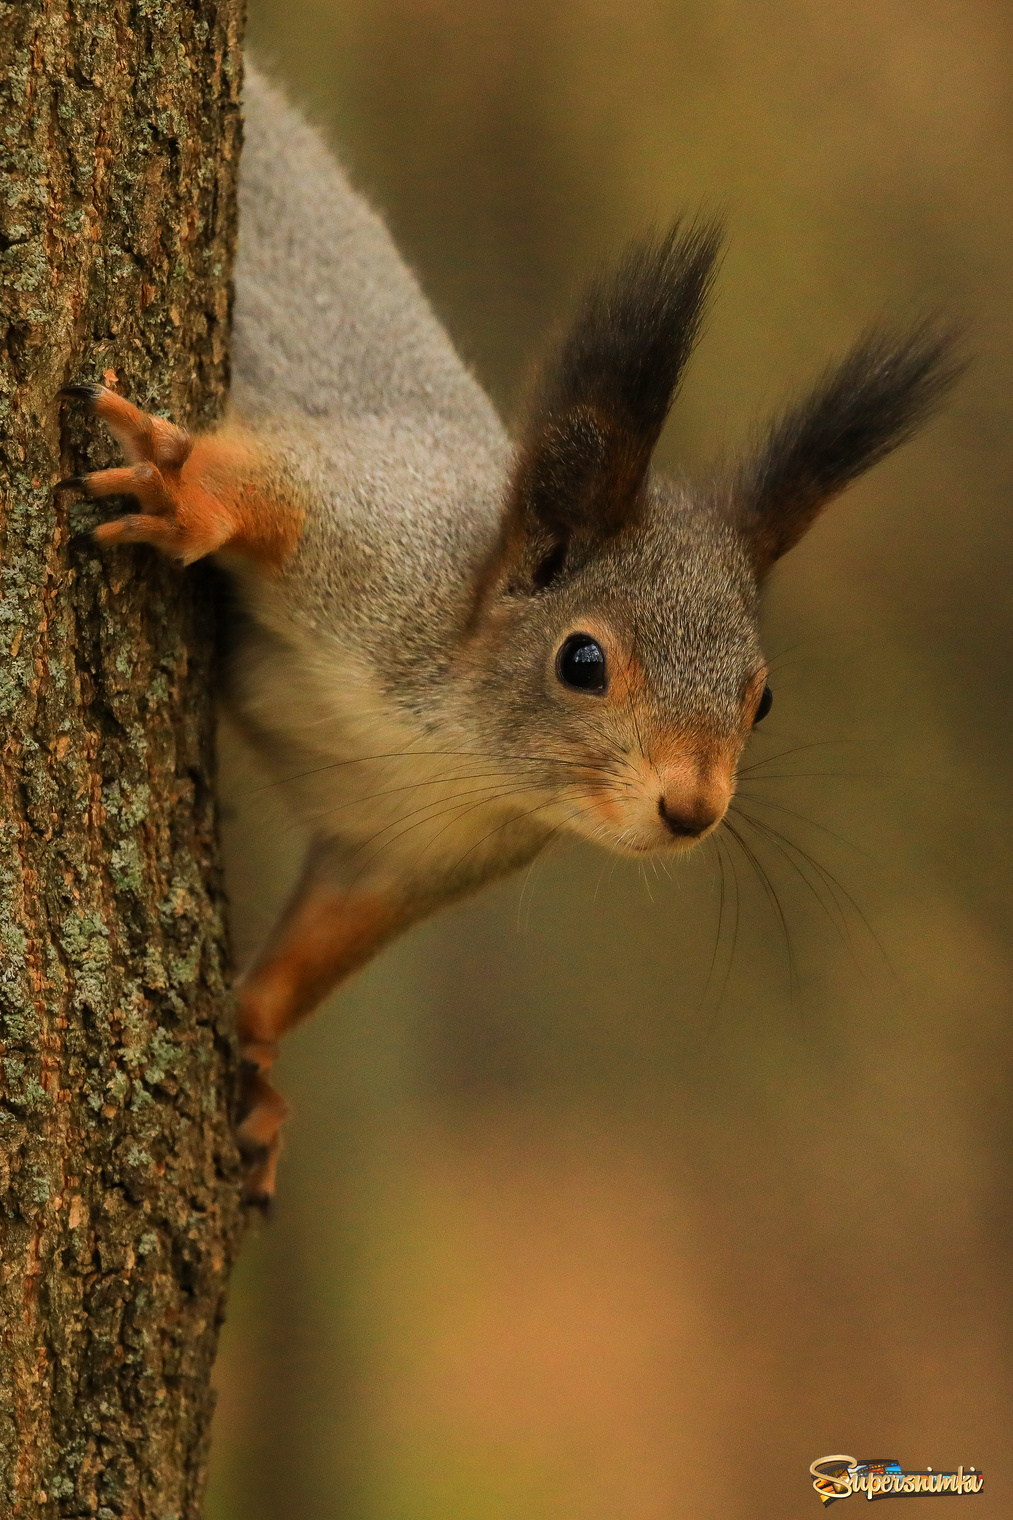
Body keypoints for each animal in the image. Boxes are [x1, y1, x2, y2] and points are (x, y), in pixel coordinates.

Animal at [53, 65, 955, 1203]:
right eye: (582, 660)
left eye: (762, 699)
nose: (691, 809)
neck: (461, 746)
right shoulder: (379, 531)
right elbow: (273, 484)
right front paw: (184, 489)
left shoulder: (410, 851)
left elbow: (319, 941)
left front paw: (256, 1062)